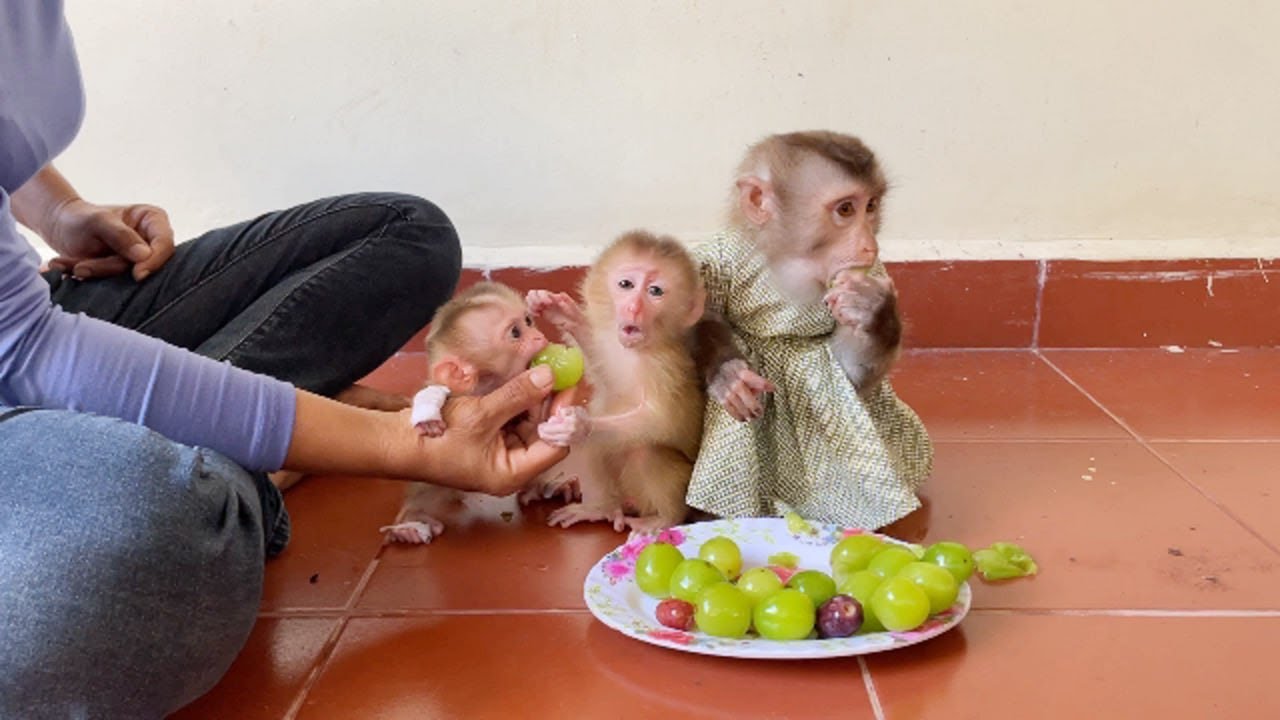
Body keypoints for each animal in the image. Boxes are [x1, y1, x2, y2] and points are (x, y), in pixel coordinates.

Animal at [378, 282, 580, 544]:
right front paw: (427, 413)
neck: (491, 386)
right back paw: (409, 521)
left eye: (528, 321)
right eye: (516, 333)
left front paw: (557, 309)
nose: (539, 336)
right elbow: (436, 391)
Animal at [527, 230, 706, 533]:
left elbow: (661, 419)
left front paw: (579, 426)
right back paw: (601, 508)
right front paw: (564, 314)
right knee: (602, 444)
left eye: (655, 291)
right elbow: (607, 376)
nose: (634, 308)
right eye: (626, 285)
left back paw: (665, 517)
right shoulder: (615, 346)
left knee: (644, 450)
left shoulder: (664, 366)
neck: (639, 351)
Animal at [685, 130, 933, 532]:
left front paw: (875, 313)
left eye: (870, 206)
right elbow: (692, 313)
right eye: (845, 210)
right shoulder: (719, 256)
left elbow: (846, 373)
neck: (789, 265)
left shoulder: (870, 273)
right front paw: (729, 374)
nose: (869, 245)